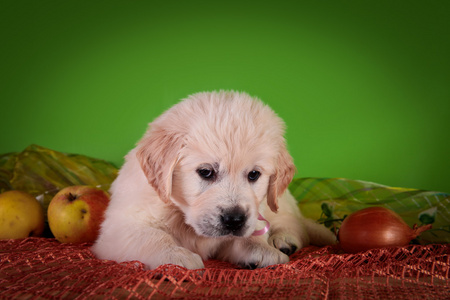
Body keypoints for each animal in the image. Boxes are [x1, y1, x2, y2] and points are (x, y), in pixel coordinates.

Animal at [91, 91, 334, 270]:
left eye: (254, 175)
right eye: (206, 172)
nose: (234, 220)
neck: (183, 215)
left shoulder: (253, 216)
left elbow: (248, 236)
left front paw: (263, 250)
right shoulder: (119, 228)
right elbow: (152, 236)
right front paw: (177, 256)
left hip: (277, 202)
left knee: (293, 222)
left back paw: (284, 240)